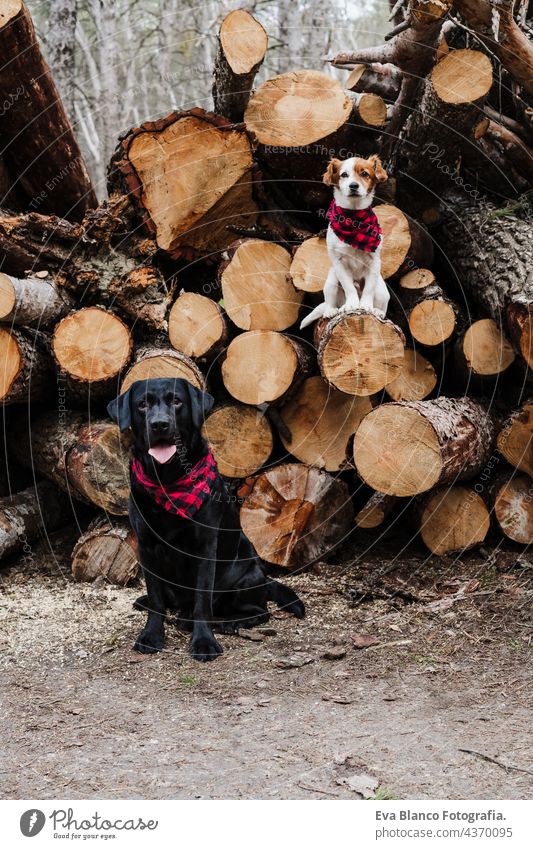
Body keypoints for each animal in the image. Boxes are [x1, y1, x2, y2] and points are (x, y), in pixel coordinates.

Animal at [108, 378, 304, 664]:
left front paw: (203, 642)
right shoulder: (146, 547)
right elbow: (156, 600)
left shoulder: (204, 548)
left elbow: (202, 600)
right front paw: (151, 636)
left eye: (176, 401)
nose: (160, 424)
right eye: (142, 404)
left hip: (244, 574)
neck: (168, 479)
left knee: (259, 610)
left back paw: (229, 622)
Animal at [300, 152, 390, 328]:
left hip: (382, 289)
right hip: (331, 279)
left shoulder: (374, 261)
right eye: (344, 175)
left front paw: (366, 306)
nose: (353, 186)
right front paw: (352, 304)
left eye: (365, 174)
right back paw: (331, 310)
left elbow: (368, 289)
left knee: (382, 304)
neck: (354, 219)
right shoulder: (338, 262)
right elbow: (349, 287)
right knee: (330, 301)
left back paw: (378, 312)